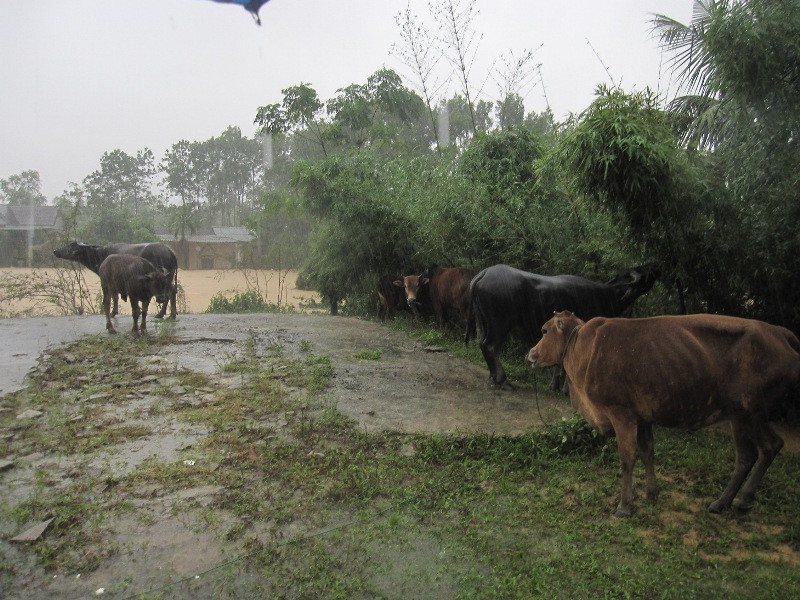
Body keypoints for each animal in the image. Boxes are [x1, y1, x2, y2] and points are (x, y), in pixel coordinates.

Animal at [465, 263, 659, 389]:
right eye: (642, 275)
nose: (655, 270)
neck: (605, 295)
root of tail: (483, 273)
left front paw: (555, 385)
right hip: (499, 324)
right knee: (490, 346)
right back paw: (502, 379)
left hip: (484, 323)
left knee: (483, 344)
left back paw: (493, 376)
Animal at [527, 310, 800, 517]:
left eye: (544, 331)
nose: (530, 354)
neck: (584, 350)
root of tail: (778, 332)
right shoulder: (643, 417)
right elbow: (648, 452)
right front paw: (651, 494)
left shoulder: (622, 414)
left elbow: (627, 458)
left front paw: (625, 505)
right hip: (746, 415)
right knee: (760, 451)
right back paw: (736, 500)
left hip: (747, 411)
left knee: (757, 451)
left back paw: (728, 501)